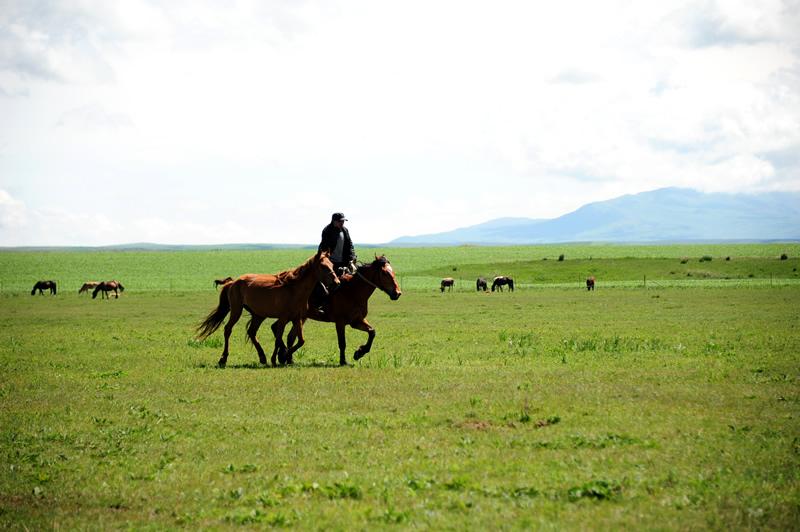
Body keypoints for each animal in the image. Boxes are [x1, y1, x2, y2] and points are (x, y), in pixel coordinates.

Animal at [200, 251, 340, 368]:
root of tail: (234, 282)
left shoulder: (297, 318)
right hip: (236, 310)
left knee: (252, 332)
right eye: (323, 266)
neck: (293, 290)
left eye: (332, 265)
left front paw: (284, 356)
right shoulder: (283, 318)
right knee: (228, 330)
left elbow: (300, 341)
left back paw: (262, 357)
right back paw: (223, 359)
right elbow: (278, 339)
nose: (337, 283)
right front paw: (278, 358)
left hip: (258, 315)